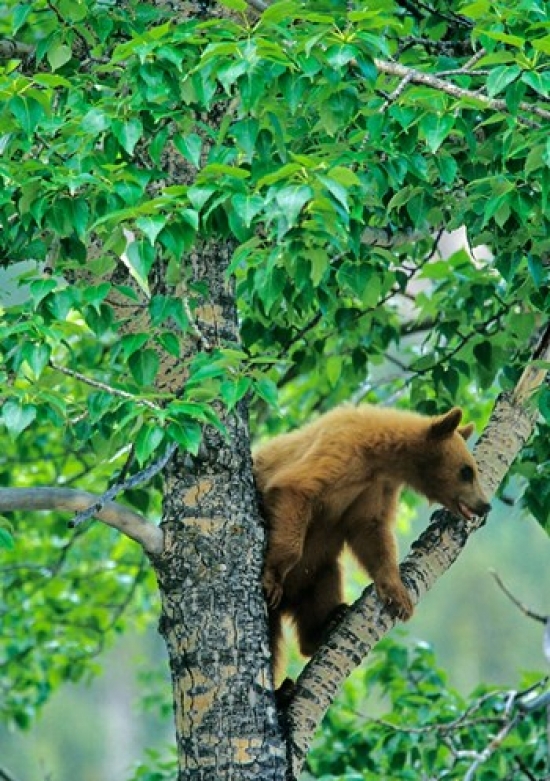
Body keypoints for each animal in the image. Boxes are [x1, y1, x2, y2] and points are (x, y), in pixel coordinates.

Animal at [253, 404, 491, 678]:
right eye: (467, 471)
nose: (485, 505)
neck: (379, 458)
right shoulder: (338, 453)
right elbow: (295, 488)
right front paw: (272, 576)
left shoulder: (374, 490)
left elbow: (372, 533)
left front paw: (399, 597)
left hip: (315, 572)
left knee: (325, 581)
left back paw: (328, 622)